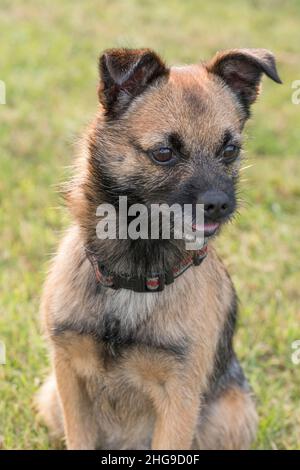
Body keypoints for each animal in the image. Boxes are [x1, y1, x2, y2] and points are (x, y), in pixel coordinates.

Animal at [35, 46, 282, 448]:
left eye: (230, 150)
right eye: (164, 152)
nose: (219, 204)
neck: (133, 275)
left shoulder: (179, 396)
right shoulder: (69, 377)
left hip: (232, 413)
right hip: (50, 396)